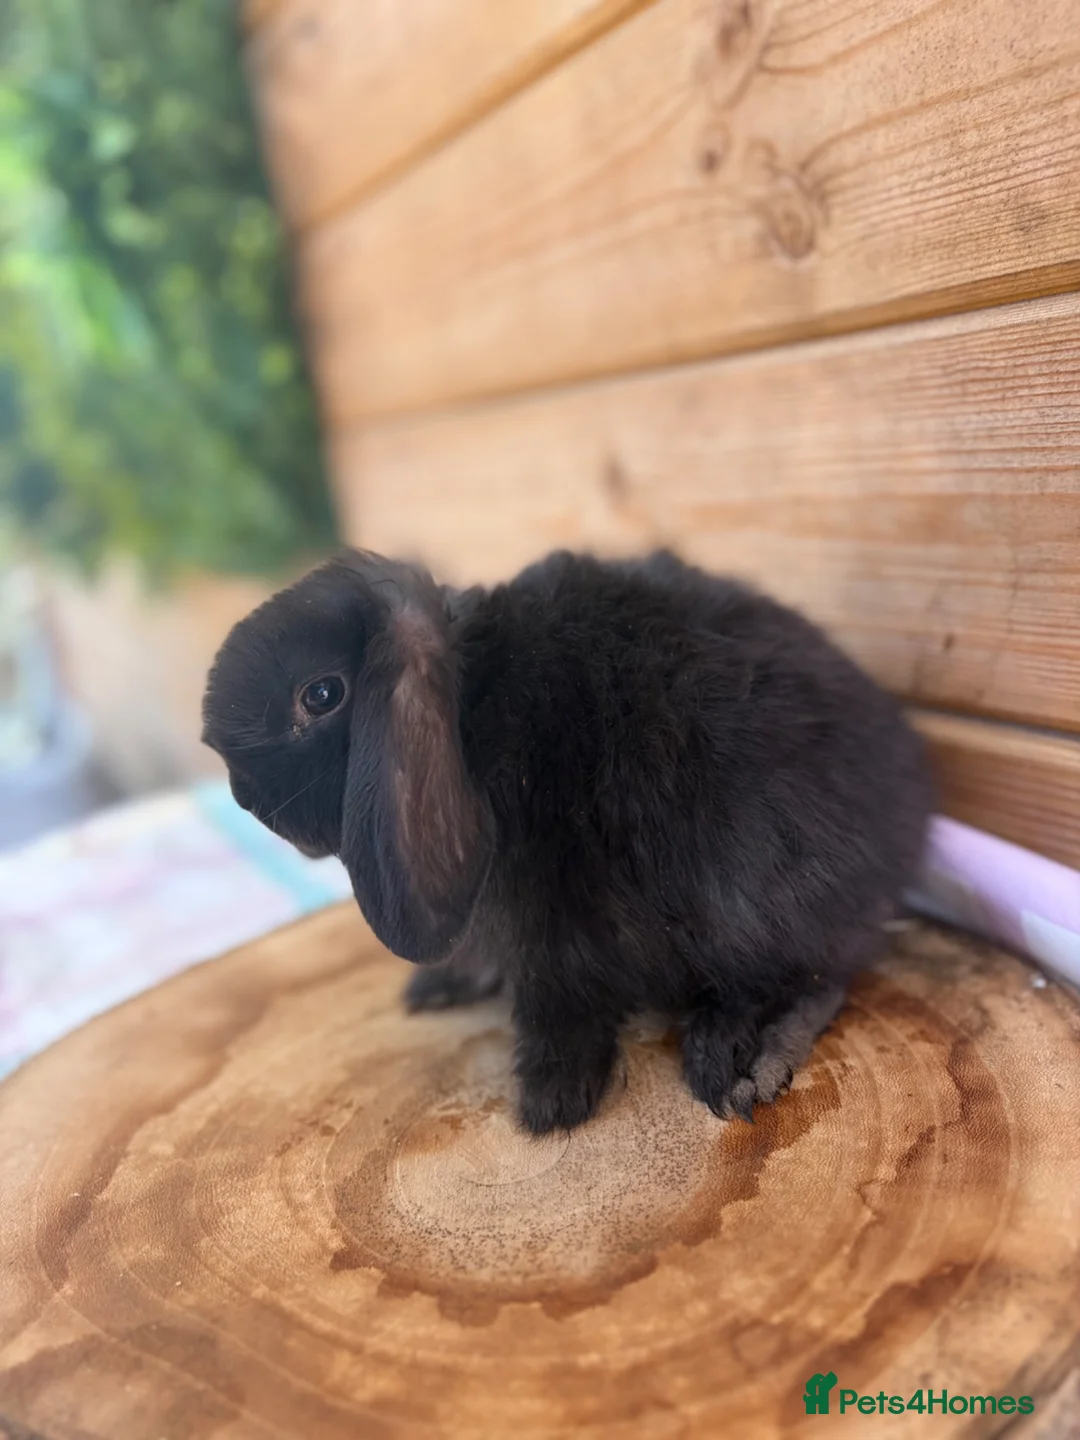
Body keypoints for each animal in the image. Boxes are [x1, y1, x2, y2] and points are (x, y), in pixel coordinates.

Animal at [202, 547, 932, 1135]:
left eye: (322, 694)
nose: (246, 799)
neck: (470, 704)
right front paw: (439, 988)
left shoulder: (553, 917)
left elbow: (557, 1001)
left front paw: (552, 1102)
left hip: (747, 900)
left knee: (818, 975)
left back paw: (740, 1059)